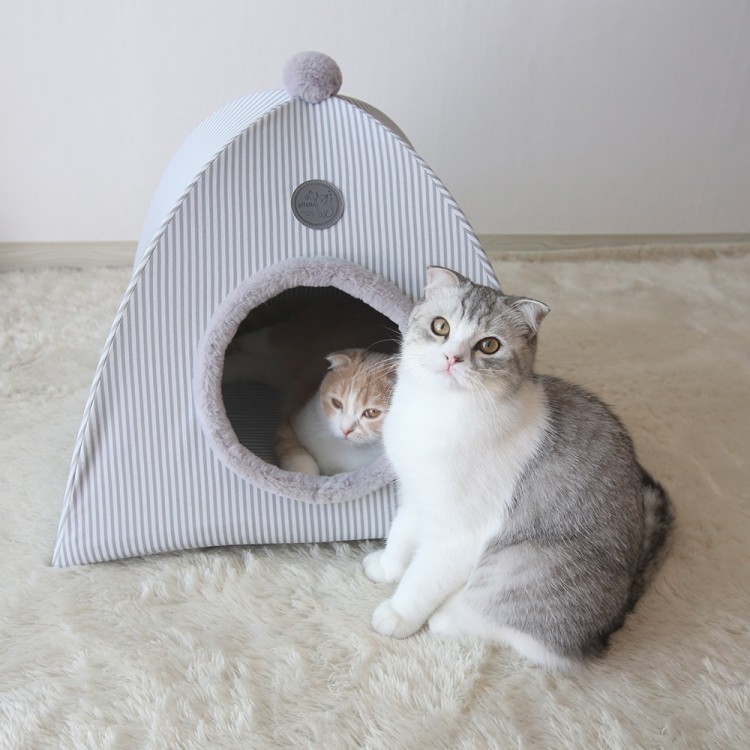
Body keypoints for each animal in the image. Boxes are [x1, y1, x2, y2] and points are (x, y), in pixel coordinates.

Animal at [363, 266, 674, 669]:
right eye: (440, 326)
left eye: (488, 346)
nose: (451, 357)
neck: (438, 410)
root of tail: (615, 620)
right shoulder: (416, 495)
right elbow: (400, 535)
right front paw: (387, 566)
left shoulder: (459, 534)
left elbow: (422, 578)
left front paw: (399, 613)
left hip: (519, 561)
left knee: (519, 632)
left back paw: (449, 615)